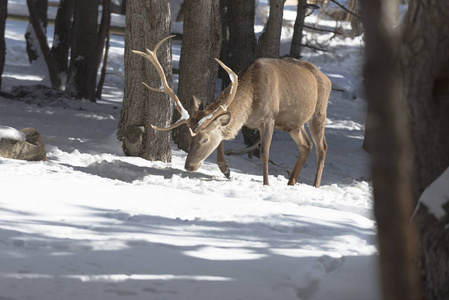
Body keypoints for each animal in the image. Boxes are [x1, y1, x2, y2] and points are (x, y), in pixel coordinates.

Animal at [131, 34, 330, 185]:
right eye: (189, 136)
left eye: (204, 139)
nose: (189, 166)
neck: (251, 106)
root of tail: (326, 78)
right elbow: (222, 137)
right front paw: (225, 169)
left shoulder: (269, 118)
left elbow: (264, 153)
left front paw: (266, 183)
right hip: (293, 124)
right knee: (306, 145)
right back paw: (291, 182)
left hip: (319, 112)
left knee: (322, 147)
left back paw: (316, 184)